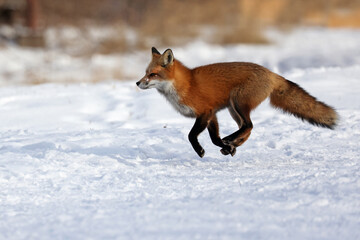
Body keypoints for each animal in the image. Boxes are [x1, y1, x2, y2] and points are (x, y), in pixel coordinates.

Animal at [137, 47, 338, 158]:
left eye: (152, 74)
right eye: (145, 73)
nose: (138, 83)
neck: (184, 85)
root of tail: (270, 73)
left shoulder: (205, 112)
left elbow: (192, 136)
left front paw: (201, 151)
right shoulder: (212, 114)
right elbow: (215, 138)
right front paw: (227, 147)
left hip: (238, 102)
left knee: (249, 125)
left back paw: (232, 140)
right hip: (234, 110)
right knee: (247, 128)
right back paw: (233, 144)